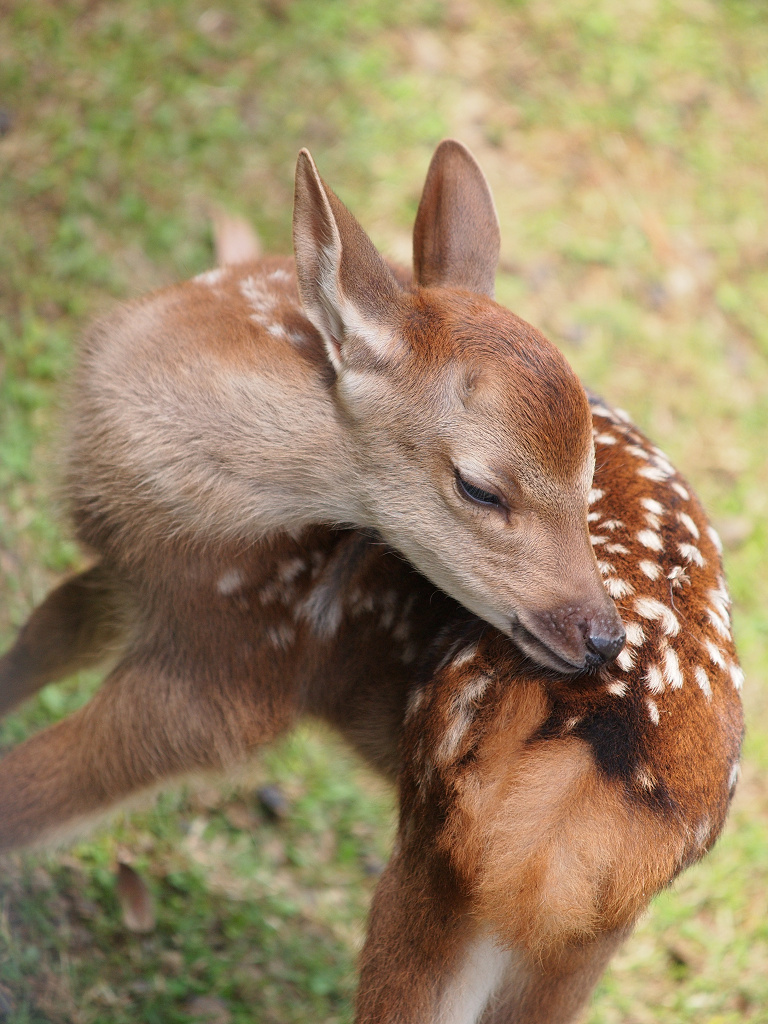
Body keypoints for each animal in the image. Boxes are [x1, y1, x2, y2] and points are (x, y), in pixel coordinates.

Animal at [0, 146, 745, 1024]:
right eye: (481, 487)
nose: (600, 635)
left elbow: (24, 798)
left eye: (587, 470)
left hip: (444, 860)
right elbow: (36, 641)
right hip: (579, 934)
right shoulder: (137, 580)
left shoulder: (231, 668)